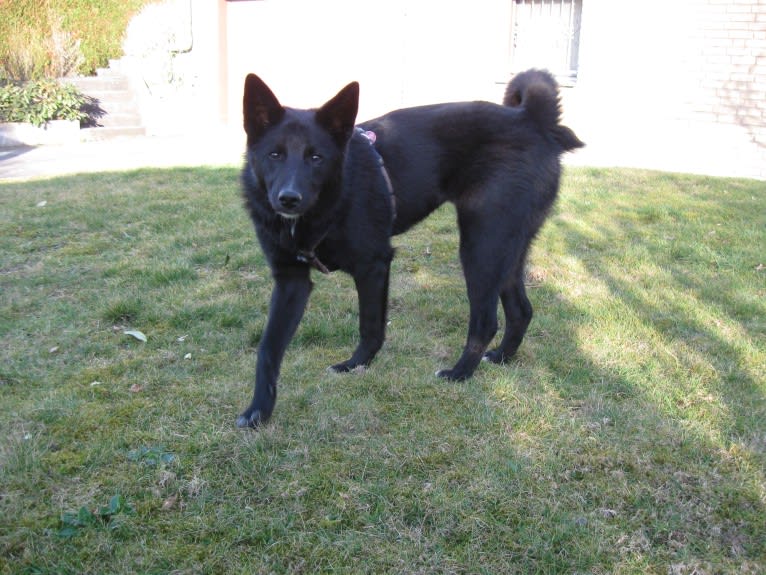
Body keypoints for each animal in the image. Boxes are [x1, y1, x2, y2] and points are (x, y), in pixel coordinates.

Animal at [237, 68, 584, 428]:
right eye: (274, 154)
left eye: (316, 157)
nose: (289, 199)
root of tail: (531, 119)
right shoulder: (291, 281)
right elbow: (267, 348)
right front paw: (258, 410)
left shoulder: (373, 265)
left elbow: (370, 326)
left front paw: (356, 365)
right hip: (506, 250)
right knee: (521, 310)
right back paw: (502, 357)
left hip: (481, 246)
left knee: (486, 320)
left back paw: (460, 373)